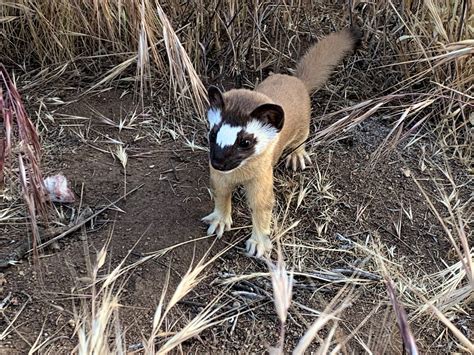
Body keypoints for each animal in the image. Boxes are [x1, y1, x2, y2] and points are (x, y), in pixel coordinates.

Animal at [202, 26, 362, 258]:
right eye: (213, 133)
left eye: (246, 142)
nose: (218, 162)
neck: (239, 176)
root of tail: (296, 80)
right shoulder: (219, 178)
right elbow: (221, 195)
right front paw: (219, 222)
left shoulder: (262, 177)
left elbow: (262, 207)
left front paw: (258, 244)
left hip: (303, 127)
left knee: (301, 139)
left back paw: (297, 156)